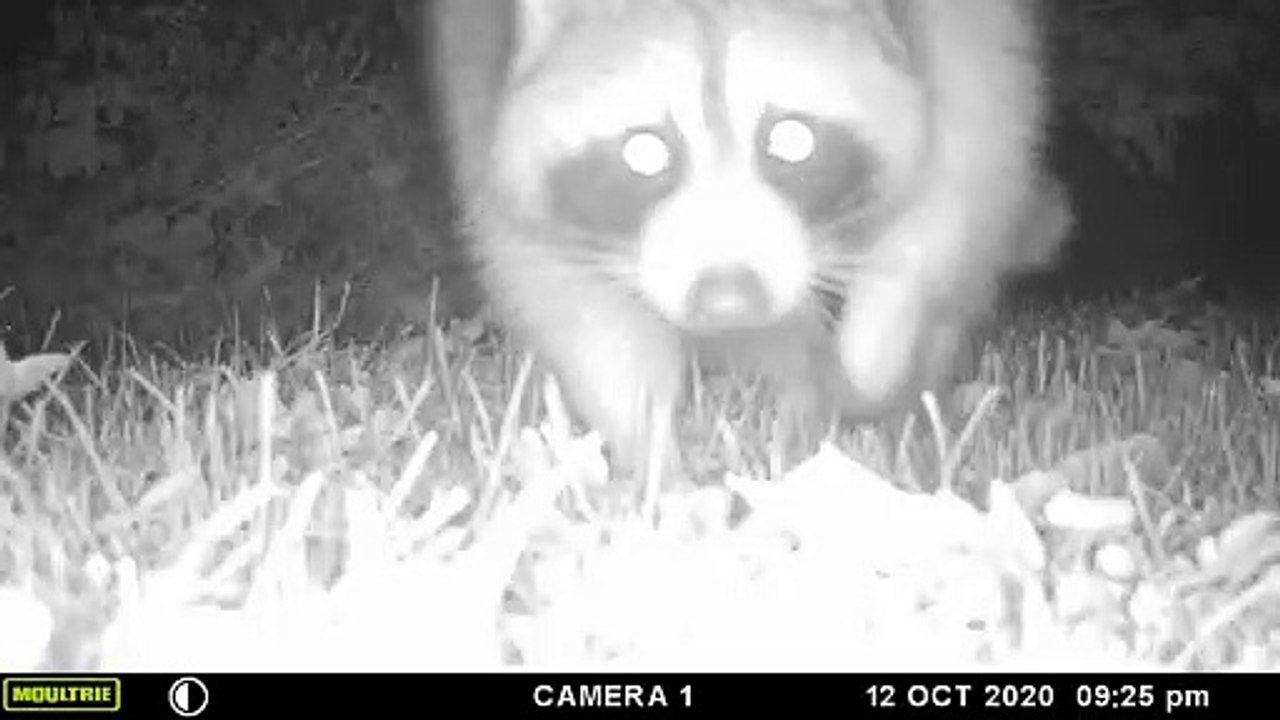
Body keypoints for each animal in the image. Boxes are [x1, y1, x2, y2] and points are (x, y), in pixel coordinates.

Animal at [424, 0, 1068, 478]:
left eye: (791, 140)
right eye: (644, 151)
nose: (728, 299)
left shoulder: (974, 50)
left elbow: (944, 207)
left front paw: (868, 365)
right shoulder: (479, 90)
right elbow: (573, 304)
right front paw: (651, 457)